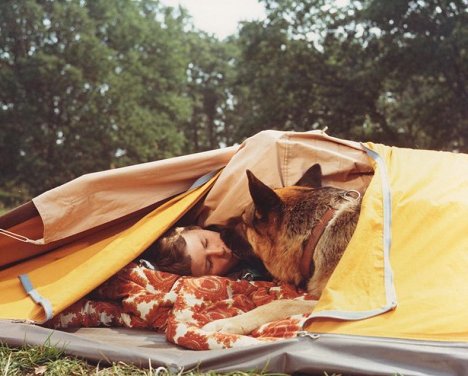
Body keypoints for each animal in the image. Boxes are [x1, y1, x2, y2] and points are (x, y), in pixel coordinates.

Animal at [202, 164, 362, 334]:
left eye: (244, 223)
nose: (221, 232)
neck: (316, 233)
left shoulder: (337, 304)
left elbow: (284, 303)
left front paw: (230, 322)